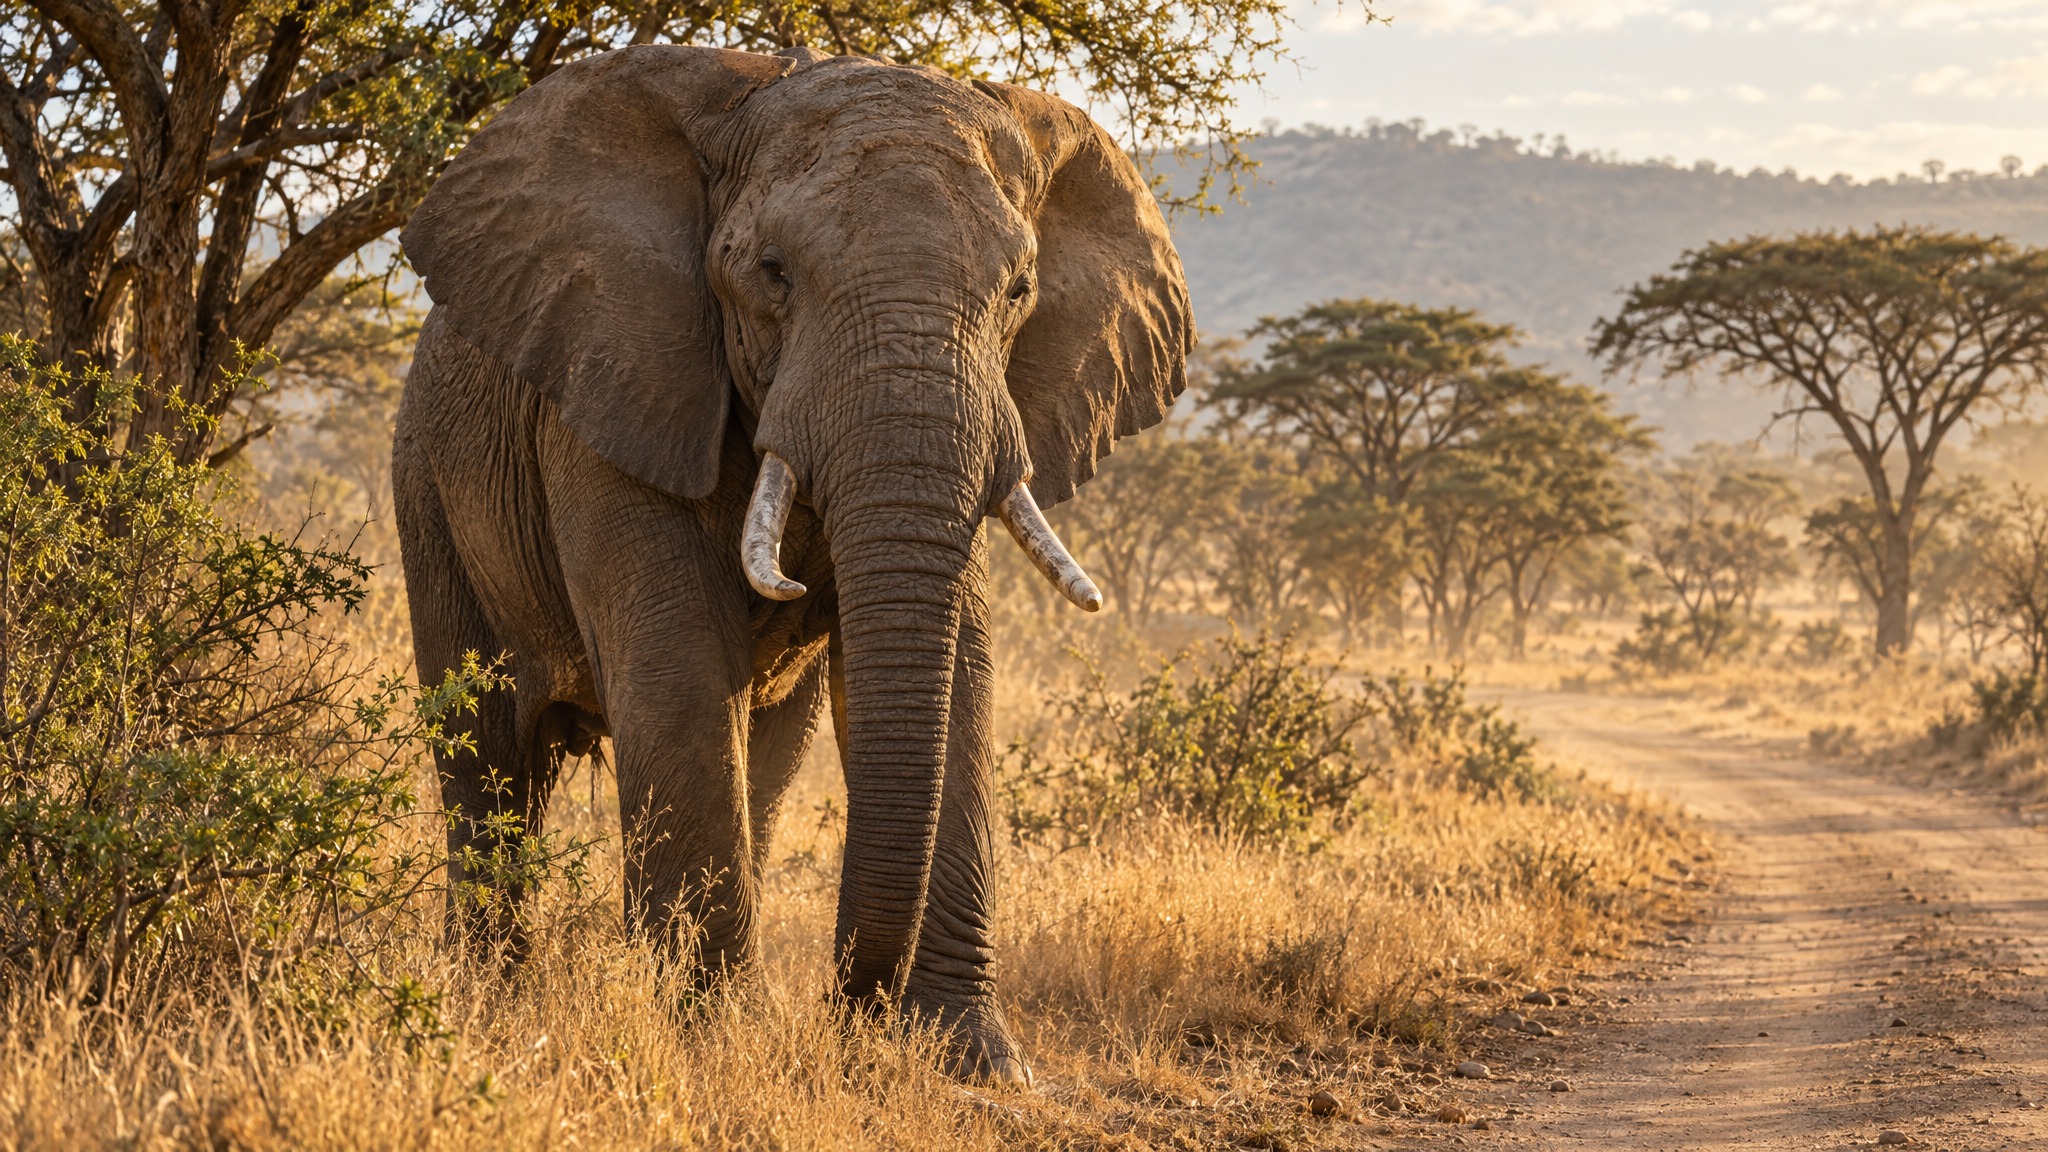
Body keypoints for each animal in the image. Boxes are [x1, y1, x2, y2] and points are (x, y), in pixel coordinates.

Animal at [391, 43, 1192, 1082]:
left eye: (1020, 289)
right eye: (771, 273)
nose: (849, 1006)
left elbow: (960, 671)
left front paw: (974, 1062)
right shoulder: (619, 378)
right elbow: (681, 667)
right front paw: (712, 1044)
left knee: (765, 758)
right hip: (427, 489)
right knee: (488, 759)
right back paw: (491, 1003)